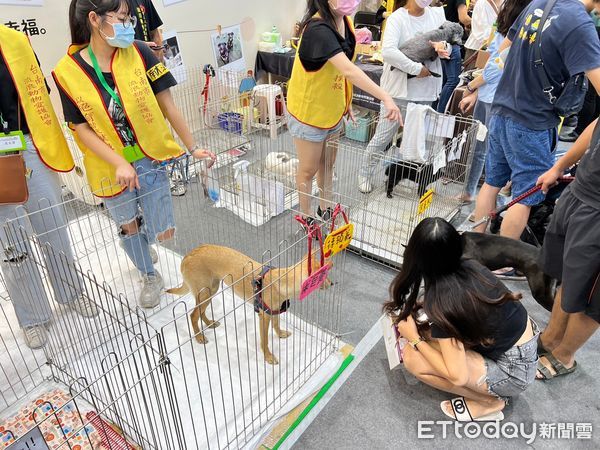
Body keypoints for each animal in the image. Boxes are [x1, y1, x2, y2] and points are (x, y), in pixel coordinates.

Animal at [166, 244, 330, 364]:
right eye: (325, 276)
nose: (333, 283)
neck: (280, 281)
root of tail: (187, 256)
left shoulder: (274, 311)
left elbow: (276, 324)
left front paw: (281, 334)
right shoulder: (264, 317)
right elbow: (264, 341)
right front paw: (268, 357)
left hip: (211, 290)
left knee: (201, 312)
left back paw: (209, 323)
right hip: (204, 293)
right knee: (193, 315)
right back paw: (199, 337)